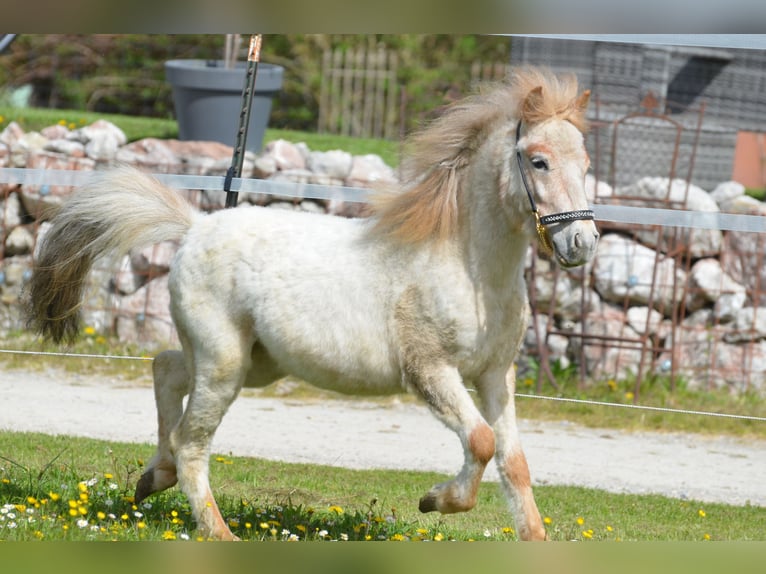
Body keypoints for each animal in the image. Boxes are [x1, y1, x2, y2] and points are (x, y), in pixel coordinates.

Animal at [27, 68, 600, 544]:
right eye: (539, 160)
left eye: (587, 164)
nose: (584, 244)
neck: (469, 266)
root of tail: (195, 226)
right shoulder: (430, 371)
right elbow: (481, 442)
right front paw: (433, 500)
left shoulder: (495, 375)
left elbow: (513, 461)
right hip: (225, 363)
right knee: (191, 441)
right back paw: (217, 531)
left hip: (255, 362)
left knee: (165, 369)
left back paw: (152, 478)